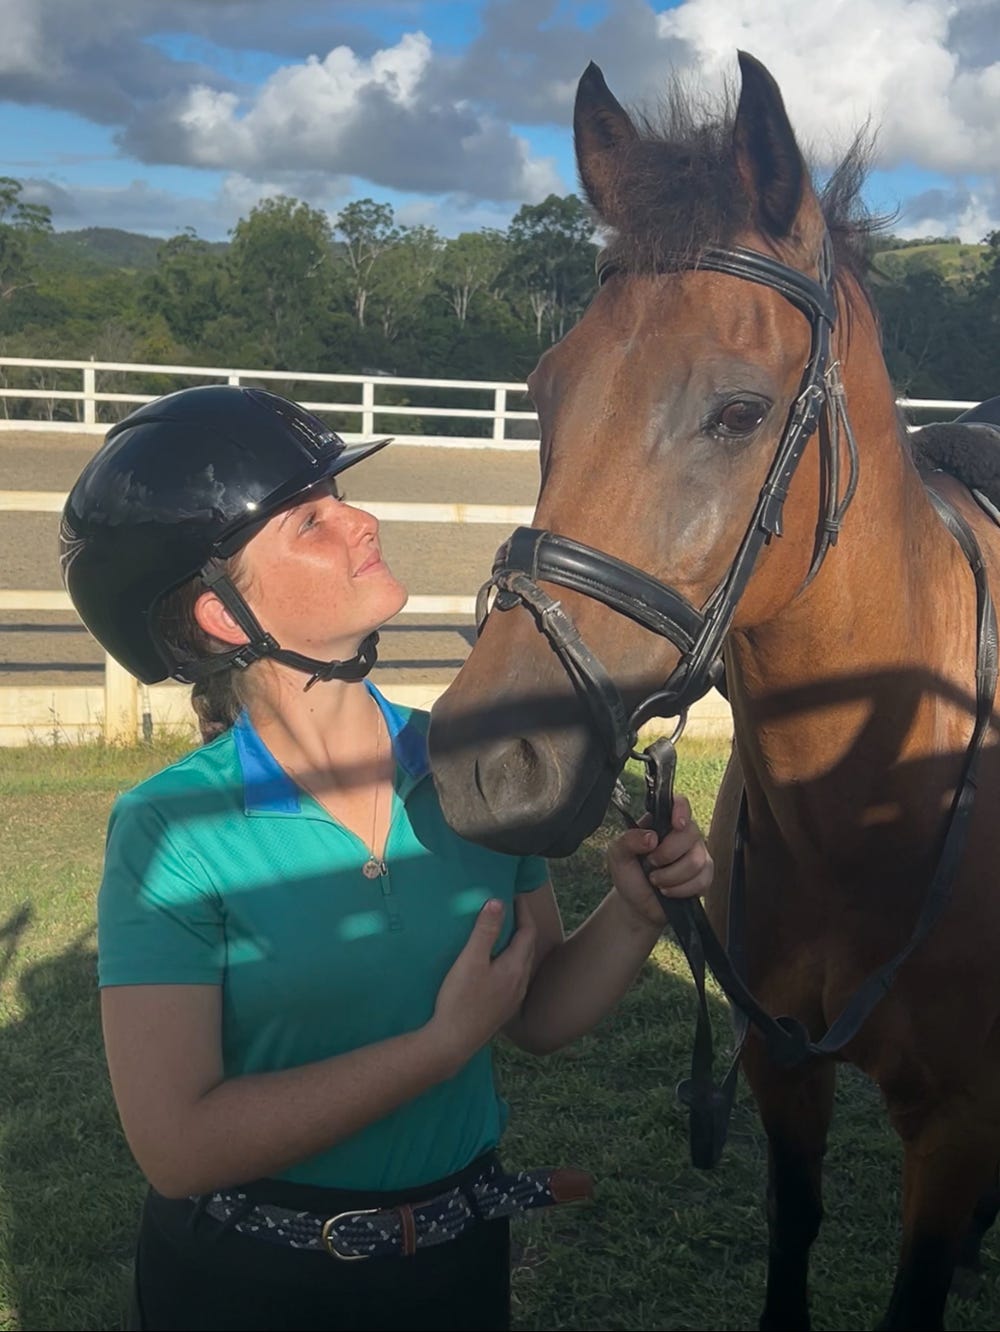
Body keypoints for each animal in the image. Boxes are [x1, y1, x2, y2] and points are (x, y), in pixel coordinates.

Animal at [427, 51, 1000, 1331]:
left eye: (738, 412)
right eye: (543, 389)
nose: (488, 763)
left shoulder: (953, 1128)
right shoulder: (779, 1069)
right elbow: (792, 1235)